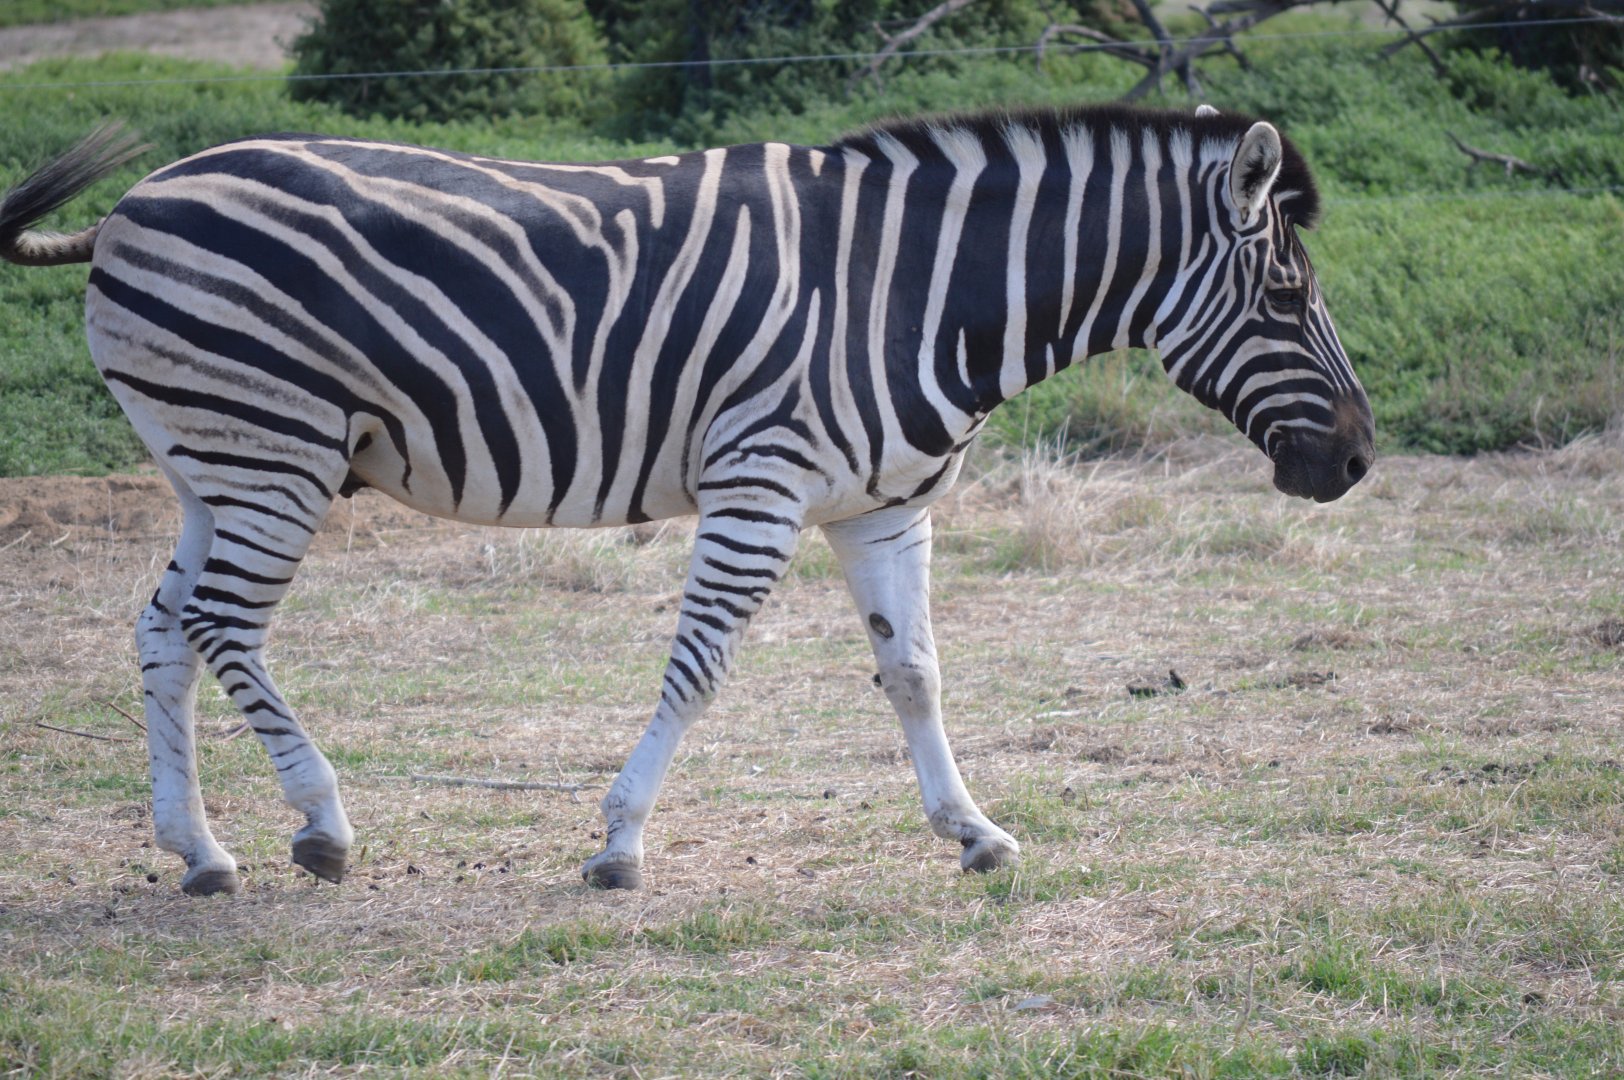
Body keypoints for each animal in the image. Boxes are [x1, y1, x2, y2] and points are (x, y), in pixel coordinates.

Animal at [0, 104, 1373, 895]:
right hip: (271, 451)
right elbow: (699, 669)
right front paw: (619, 843)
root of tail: (133, 206)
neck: (915, 289)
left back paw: (199, 851)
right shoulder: (761, 482)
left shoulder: (883, 504)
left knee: (164, 629)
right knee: (222, 623)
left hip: (213, 462)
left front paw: (973, 831)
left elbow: (915, 673)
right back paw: (322, 824)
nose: (1357, 464)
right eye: (1289, 299)